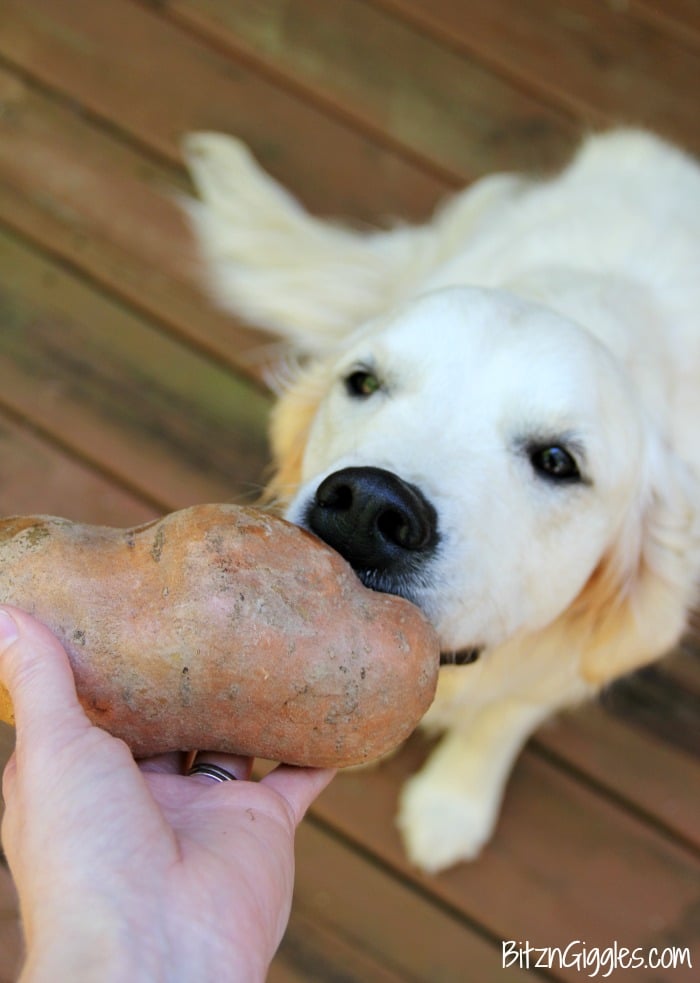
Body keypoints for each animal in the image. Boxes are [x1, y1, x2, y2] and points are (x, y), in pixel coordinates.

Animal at [182, 129, 700, 868]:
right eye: (363, 382)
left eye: (556, 461)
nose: (368, 507)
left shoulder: (567, 666)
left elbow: (502, 718)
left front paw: (454, 802)